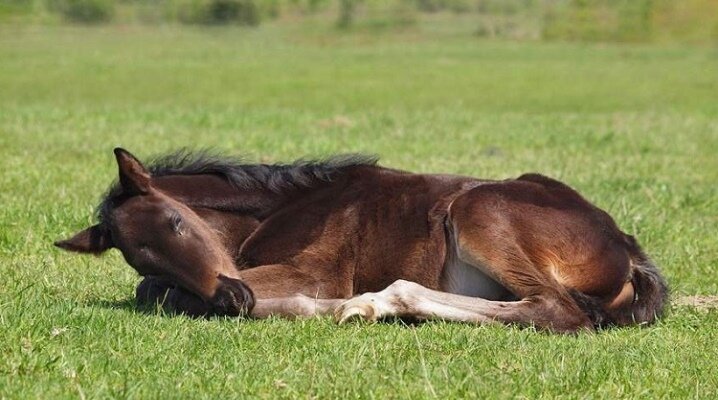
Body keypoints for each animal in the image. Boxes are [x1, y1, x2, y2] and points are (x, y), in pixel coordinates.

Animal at [54, 148, 668, 332]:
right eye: (141, 259)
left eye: (177, 223)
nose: (233, 297)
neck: (280, 207)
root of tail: (626, 246)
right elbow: (155, 292)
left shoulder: (316, 269)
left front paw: (318, 306)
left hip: (480, 208)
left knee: (554, 310)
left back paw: (378, 302)